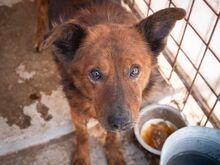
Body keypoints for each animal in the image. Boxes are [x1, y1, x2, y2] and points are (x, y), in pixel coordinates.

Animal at [34, 0, 186, 164]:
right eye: (95, 74)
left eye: (134, 71)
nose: (121, 122)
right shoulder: (76, 111)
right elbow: (82, 135)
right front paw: (82, 157)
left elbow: (112, 136)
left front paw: (113, 152)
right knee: (41, 10)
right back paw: (40, 36)